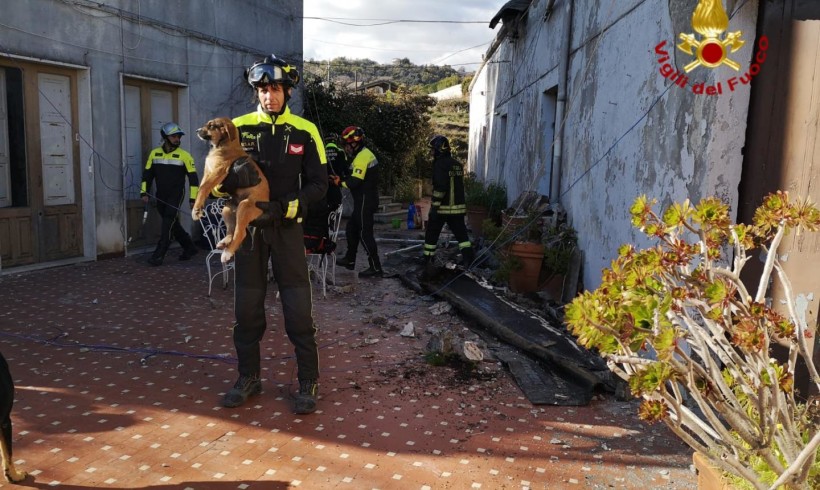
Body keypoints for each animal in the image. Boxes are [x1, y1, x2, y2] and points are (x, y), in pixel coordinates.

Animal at [192, 118, 270, 262]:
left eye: (211, 125)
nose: (197, 131)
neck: (223, 145)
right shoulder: (208, 172)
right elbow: (202, 189)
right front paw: (197, 208)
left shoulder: (218, 172)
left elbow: (204, 188)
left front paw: (196, 210)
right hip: (227, 208)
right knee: (231, 230)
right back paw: (224, 242)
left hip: (245, 207)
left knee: (240, 233)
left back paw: (228, 252)